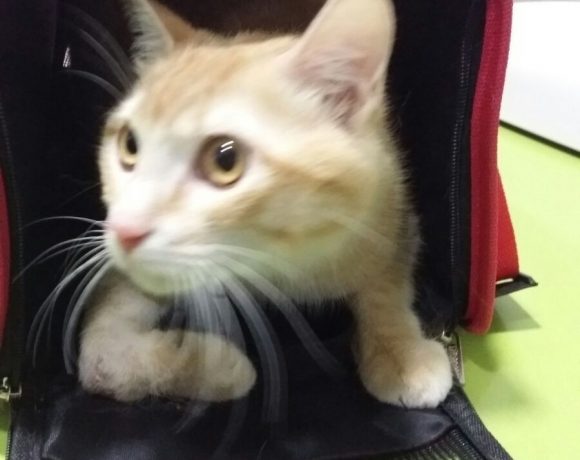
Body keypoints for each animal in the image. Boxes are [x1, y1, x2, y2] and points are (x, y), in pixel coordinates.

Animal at [78, 0, 453, 408]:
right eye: (129, 144)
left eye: (225, 160)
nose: (124, 230)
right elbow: (100, 354)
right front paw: (215, 365)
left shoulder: (391, 205)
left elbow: (386, 285)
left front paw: (402, 355)